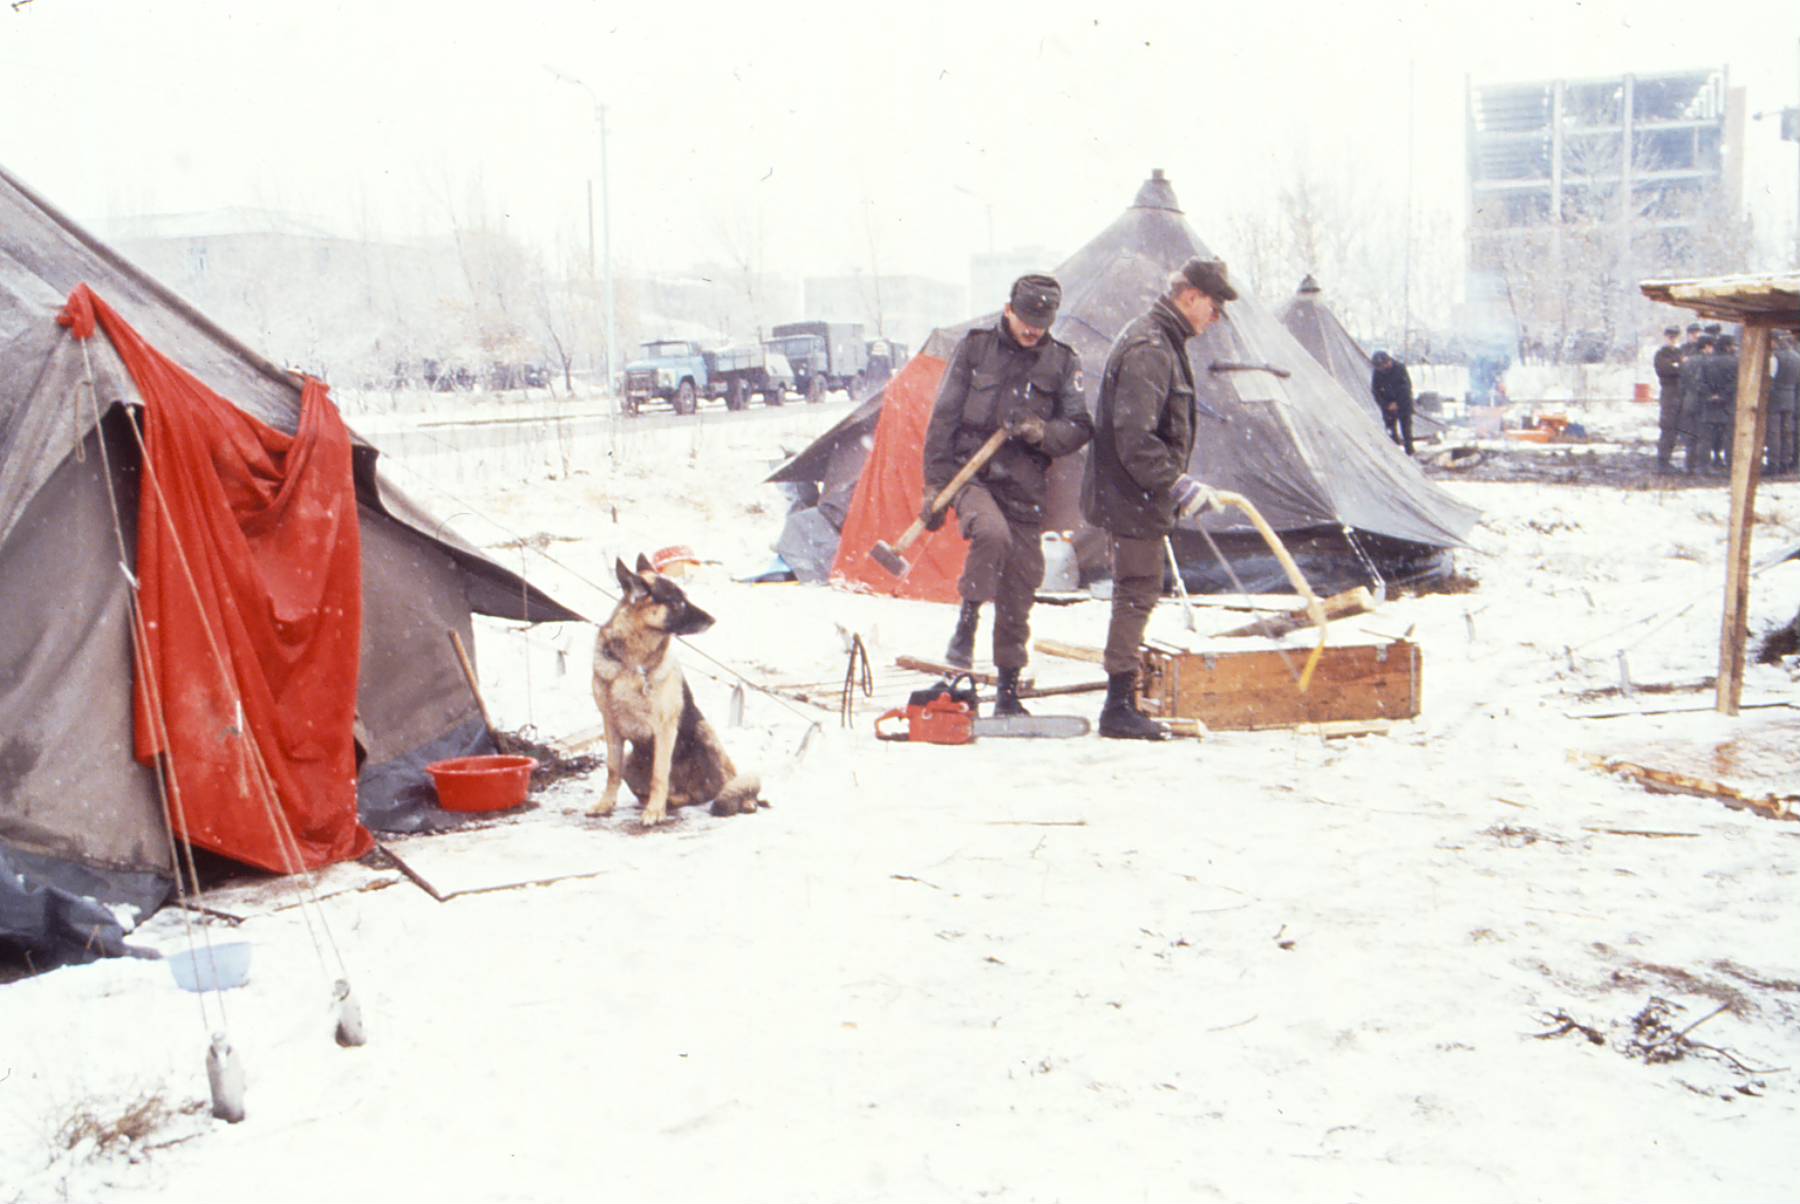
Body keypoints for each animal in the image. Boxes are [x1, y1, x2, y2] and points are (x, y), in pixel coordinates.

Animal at [588, 554, 760, 825]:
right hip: (631, 761)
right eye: (677, 602)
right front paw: (606, 804)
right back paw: (667, 801)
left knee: (728, 784)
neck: (633, 664)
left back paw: (743, 800)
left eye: (685, 597)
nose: (713, 620)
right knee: (682, 795)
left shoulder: (664, 728)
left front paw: (654, 812)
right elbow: (612, 769)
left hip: (704, 732)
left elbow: (660, 773)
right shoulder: (611, 726)